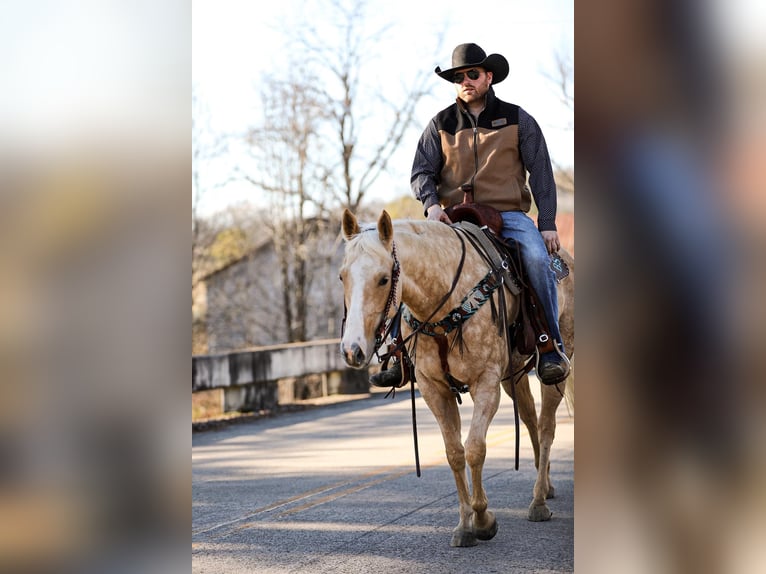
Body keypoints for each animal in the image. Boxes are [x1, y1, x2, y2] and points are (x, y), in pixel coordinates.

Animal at [342, 210, 576, 548]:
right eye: (342, 276)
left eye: (384, 278)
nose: (352, 350)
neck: (444, 301)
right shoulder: (433, 388)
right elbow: (454, 452)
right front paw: (465, 524)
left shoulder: (486, 382)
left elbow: (475, 448)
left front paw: (483, 520)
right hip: (513, 375)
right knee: (530, 419)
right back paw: (545, 486)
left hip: (557, 365)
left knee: (547, 426)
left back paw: (538, 502)